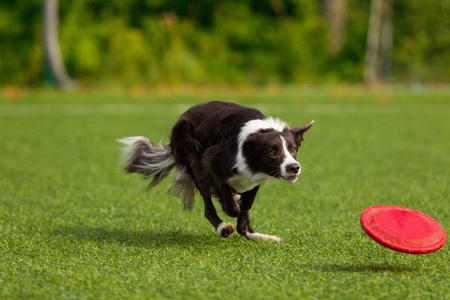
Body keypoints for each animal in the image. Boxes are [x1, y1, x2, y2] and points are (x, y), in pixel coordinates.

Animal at [119, 101, 312, 241]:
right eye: (273, 152)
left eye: (293, 149)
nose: (294, 167)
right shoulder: (211, 161)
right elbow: (231, 204)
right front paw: (229, 206)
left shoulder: (256, 179)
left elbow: (246, 205)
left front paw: (247, 225)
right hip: (194, 158)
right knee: (208, 207)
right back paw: (223, 227)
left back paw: (257, 234)